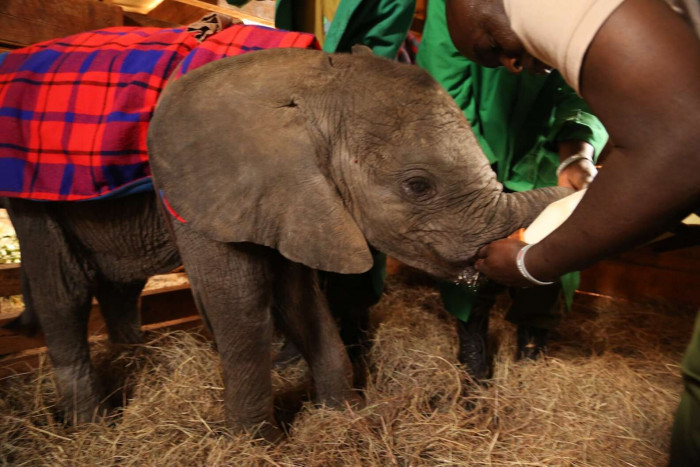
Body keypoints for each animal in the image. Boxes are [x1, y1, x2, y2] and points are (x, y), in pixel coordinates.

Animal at [3, 45, 570, 439]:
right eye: (418, 186)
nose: (578, 168)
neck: (312, 79)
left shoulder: (297, 193)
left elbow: (299, 296)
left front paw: (342, 417)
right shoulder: (206, 186)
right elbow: (242, 301)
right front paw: (253, 445)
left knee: (116, 283)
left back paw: (135, 360)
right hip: (32, 189)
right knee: (64, 290)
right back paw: (91, 425)